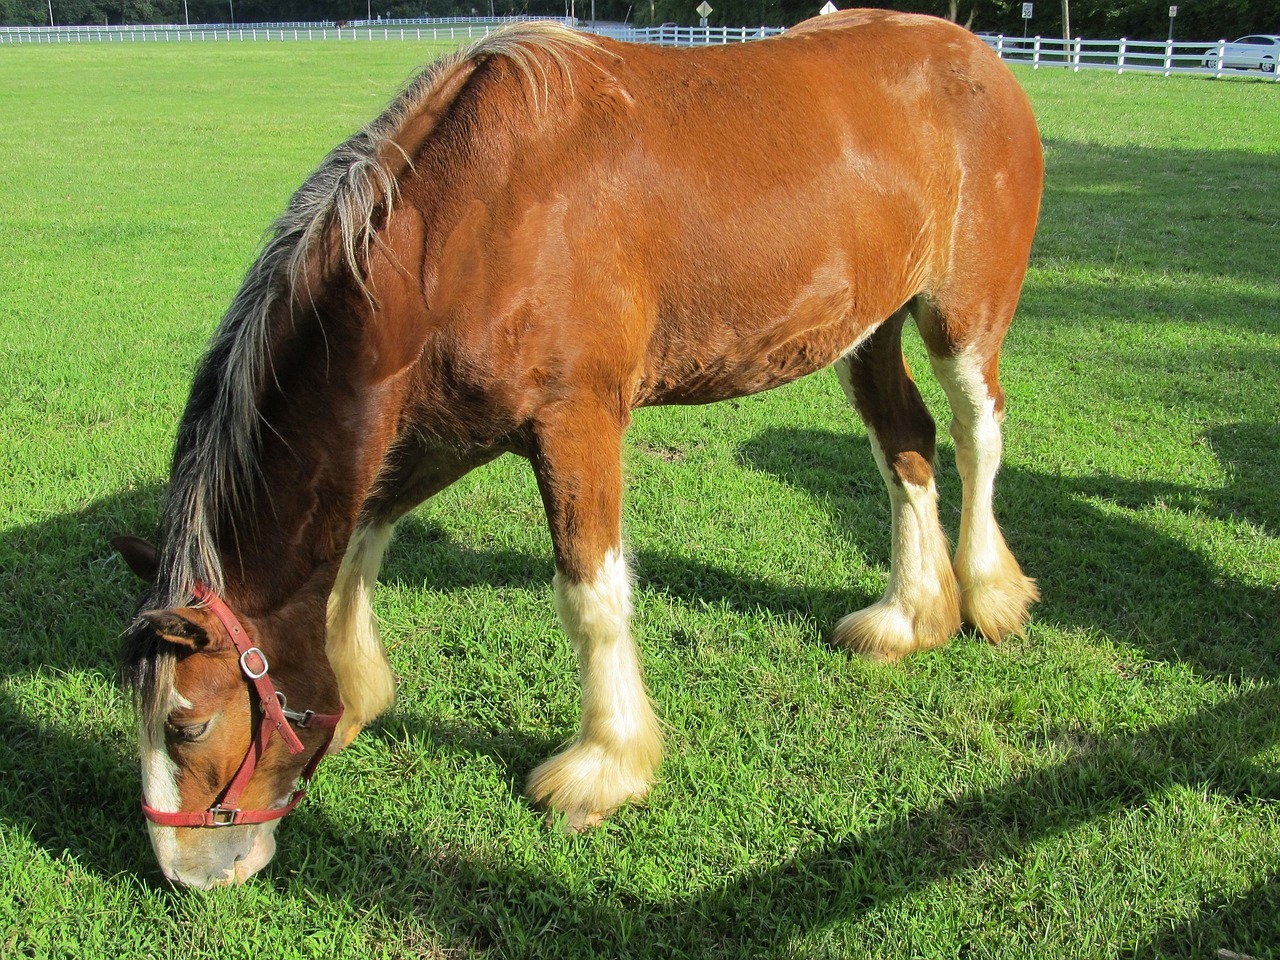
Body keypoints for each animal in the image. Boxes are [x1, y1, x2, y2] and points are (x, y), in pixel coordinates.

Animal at [115, 11, 1044, 890]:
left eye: (188, 723)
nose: (186, 874)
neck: (463, 221)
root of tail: (980, 56)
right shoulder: (457, 426)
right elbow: (363, 533)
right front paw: (359, 688)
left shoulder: (576, 425)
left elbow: (591, 596)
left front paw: (604, 766)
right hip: (866, 332)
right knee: (906, 448)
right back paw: (910, 616)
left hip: (961, 319)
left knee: (977, 435)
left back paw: (991, 596)